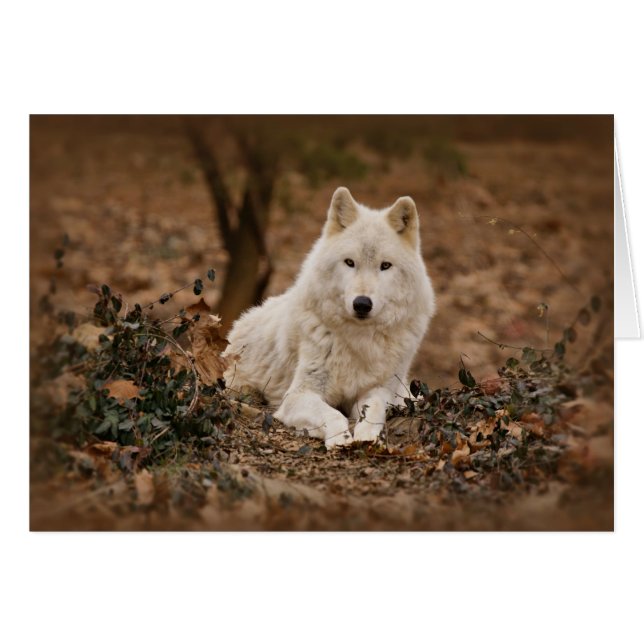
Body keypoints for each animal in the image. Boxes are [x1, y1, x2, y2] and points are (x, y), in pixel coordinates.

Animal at [223, 187, 436, 448]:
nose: (362, 304)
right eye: (349, 262)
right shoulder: (297, 395)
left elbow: (374, 407)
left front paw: (367, 435)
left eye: (385, 265)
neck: (359, 340)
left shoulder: (380, 390)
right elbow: (332, 413)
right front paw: (340, 439)